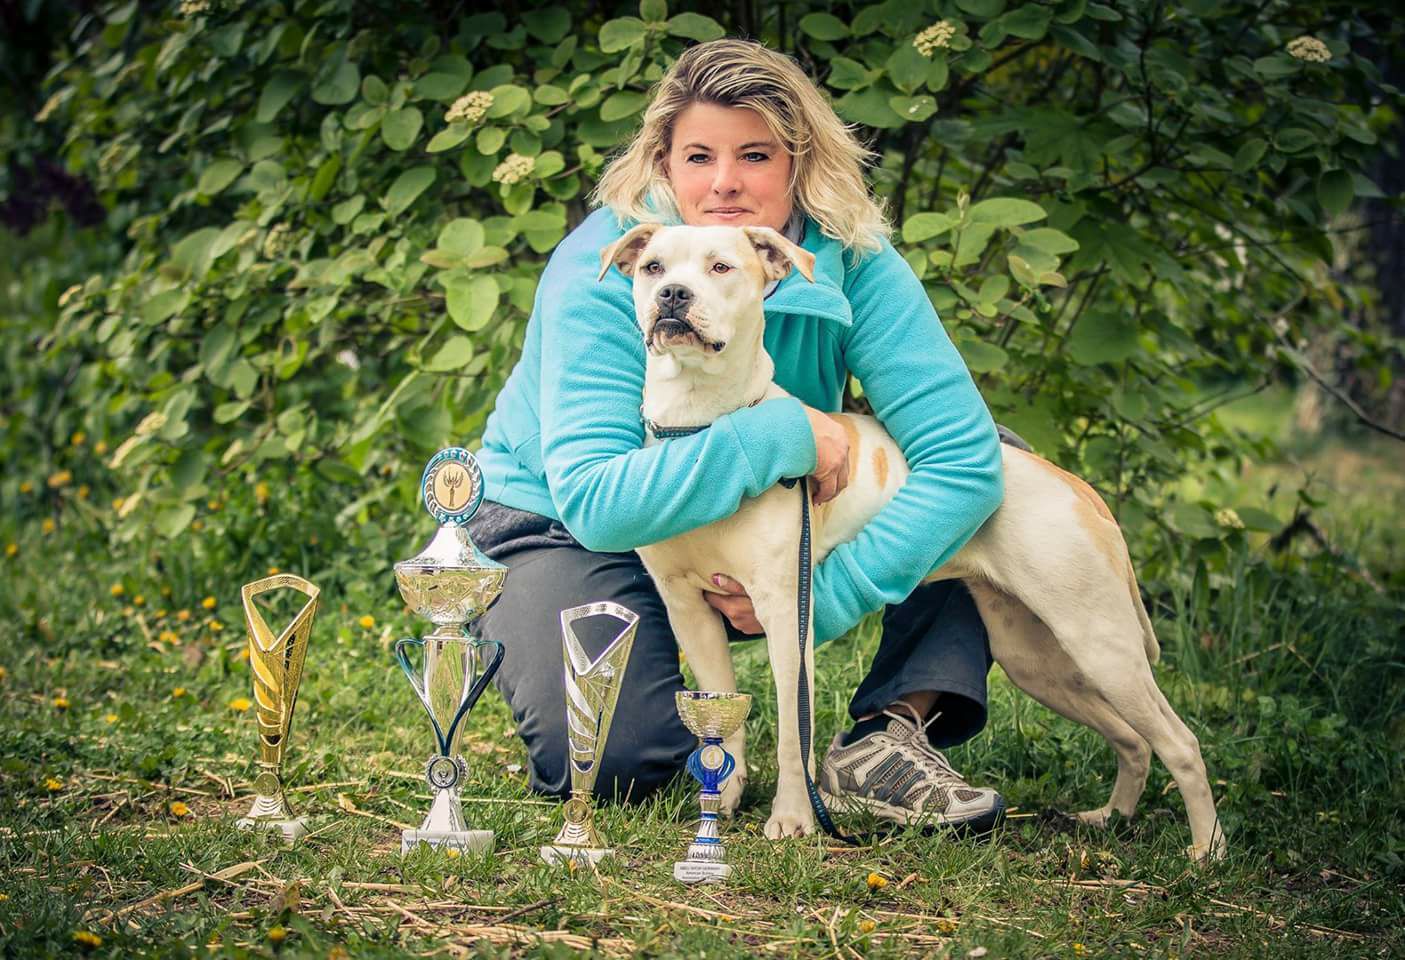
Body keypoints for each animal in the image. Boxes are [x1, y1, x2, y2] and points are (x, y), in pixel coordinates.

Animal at [597, 222, 1226, 861]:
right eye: (652, 267)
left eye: (720, 267)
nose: (672, 294)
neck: (700, 430)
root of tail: (1075, 486)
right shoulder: (688, 609)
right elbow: (724, 720)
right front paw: (720, 804)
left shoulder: (784, 614)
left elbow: (794, 737)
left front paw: (793, 821)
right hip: (1043, 662)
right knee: (1133, 740)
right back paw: (1111, 818)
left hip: (1102, 645)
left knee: (1180, 743)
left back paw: (1207, 852)